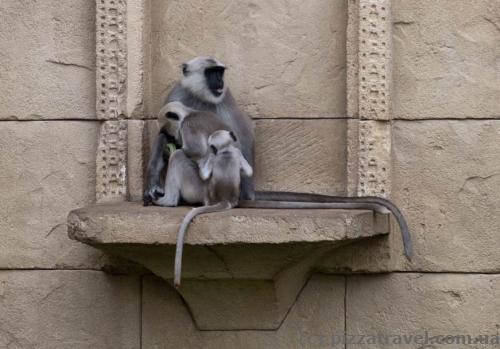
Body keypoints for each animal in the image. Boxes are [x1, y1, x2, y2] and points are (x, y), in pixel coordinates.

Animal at [146, 55, 412, 260]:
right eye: (211, 73)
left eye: (219, 73)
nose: (219, 81)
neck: (199, 98)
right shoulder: (177, 93)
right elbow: (162, 136)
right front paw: (152, 182)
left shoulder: (223, 99)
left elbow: (235, 139)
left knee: (183, 156)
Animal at [174, 129, 252, 286]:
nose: (210, 151)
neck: (225, 152)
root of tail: (225, 200)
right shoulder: (236, 152)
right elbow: (248, 172)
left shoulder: (233, 152)